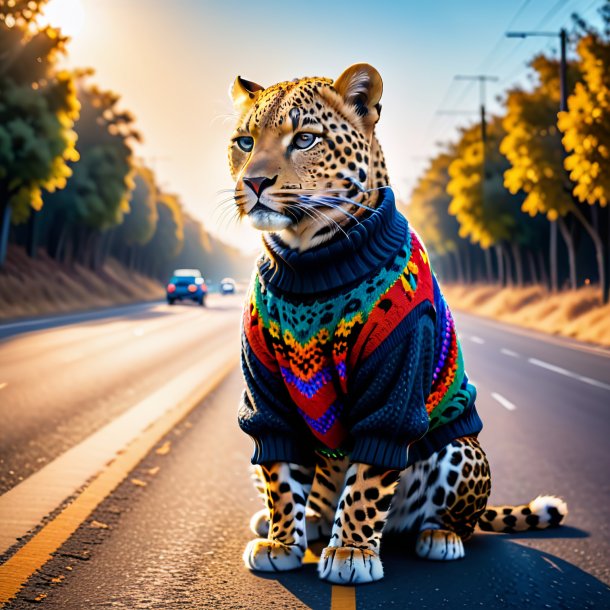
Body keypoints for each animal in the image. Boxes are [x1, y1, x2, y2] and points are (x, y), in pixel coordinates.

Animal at [227, 63, 564, 584]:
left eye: (304, 139)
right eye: (244, 142)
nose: (255, 182)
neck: (310, 260)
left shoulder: (397, 377)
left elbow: (367, 479)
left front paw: (350, 552)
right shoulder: (266, 389)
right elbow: (280, 472)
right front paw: (282, 541)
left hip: (459, 448)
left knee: (458, 521)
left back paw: (437, 537)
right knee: (306, 494)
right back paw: (300, 520)